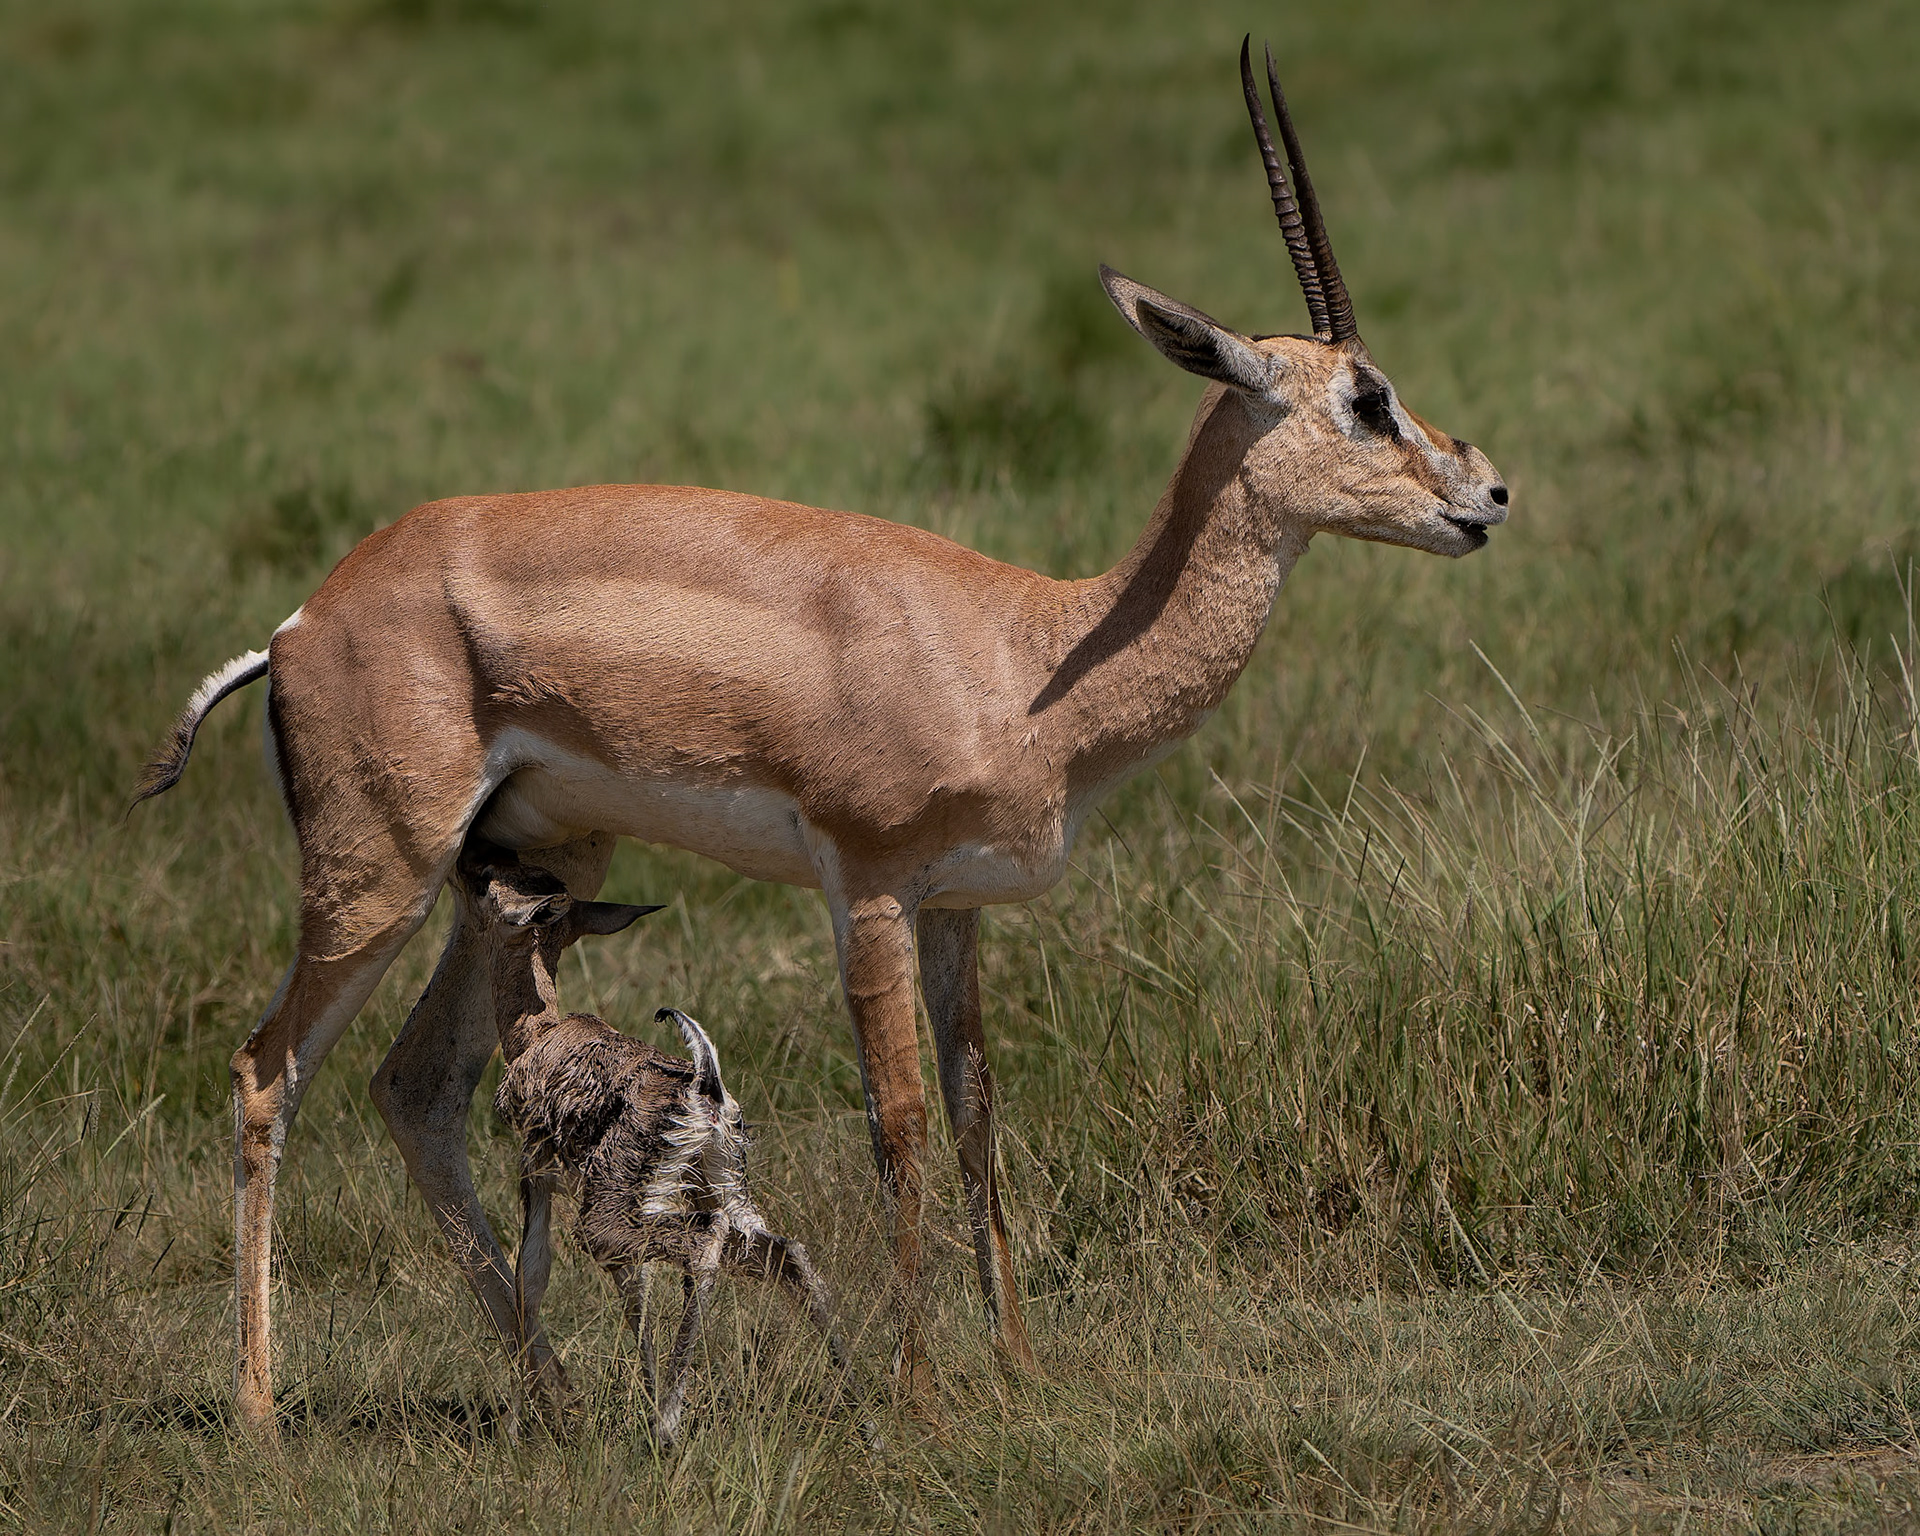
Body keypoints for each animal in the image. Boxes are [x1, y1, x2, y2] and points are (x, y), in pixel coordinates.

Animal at [133, 40, 1507, 1432]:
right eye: (1369, 397)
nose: (1489, 492)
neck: (1027, 655)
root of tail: (303, 621)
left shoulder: (956, 909)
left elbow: (976, 1115)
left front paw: (1019, 1367)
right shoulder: (870, 889)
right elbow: (897, 1123)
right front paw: (919, 1393)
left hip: (535, 875)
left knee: (418, 1088)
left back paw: (558, 1395)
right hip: (380, 873)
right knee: (267, 1071)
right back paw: (261, 1414)